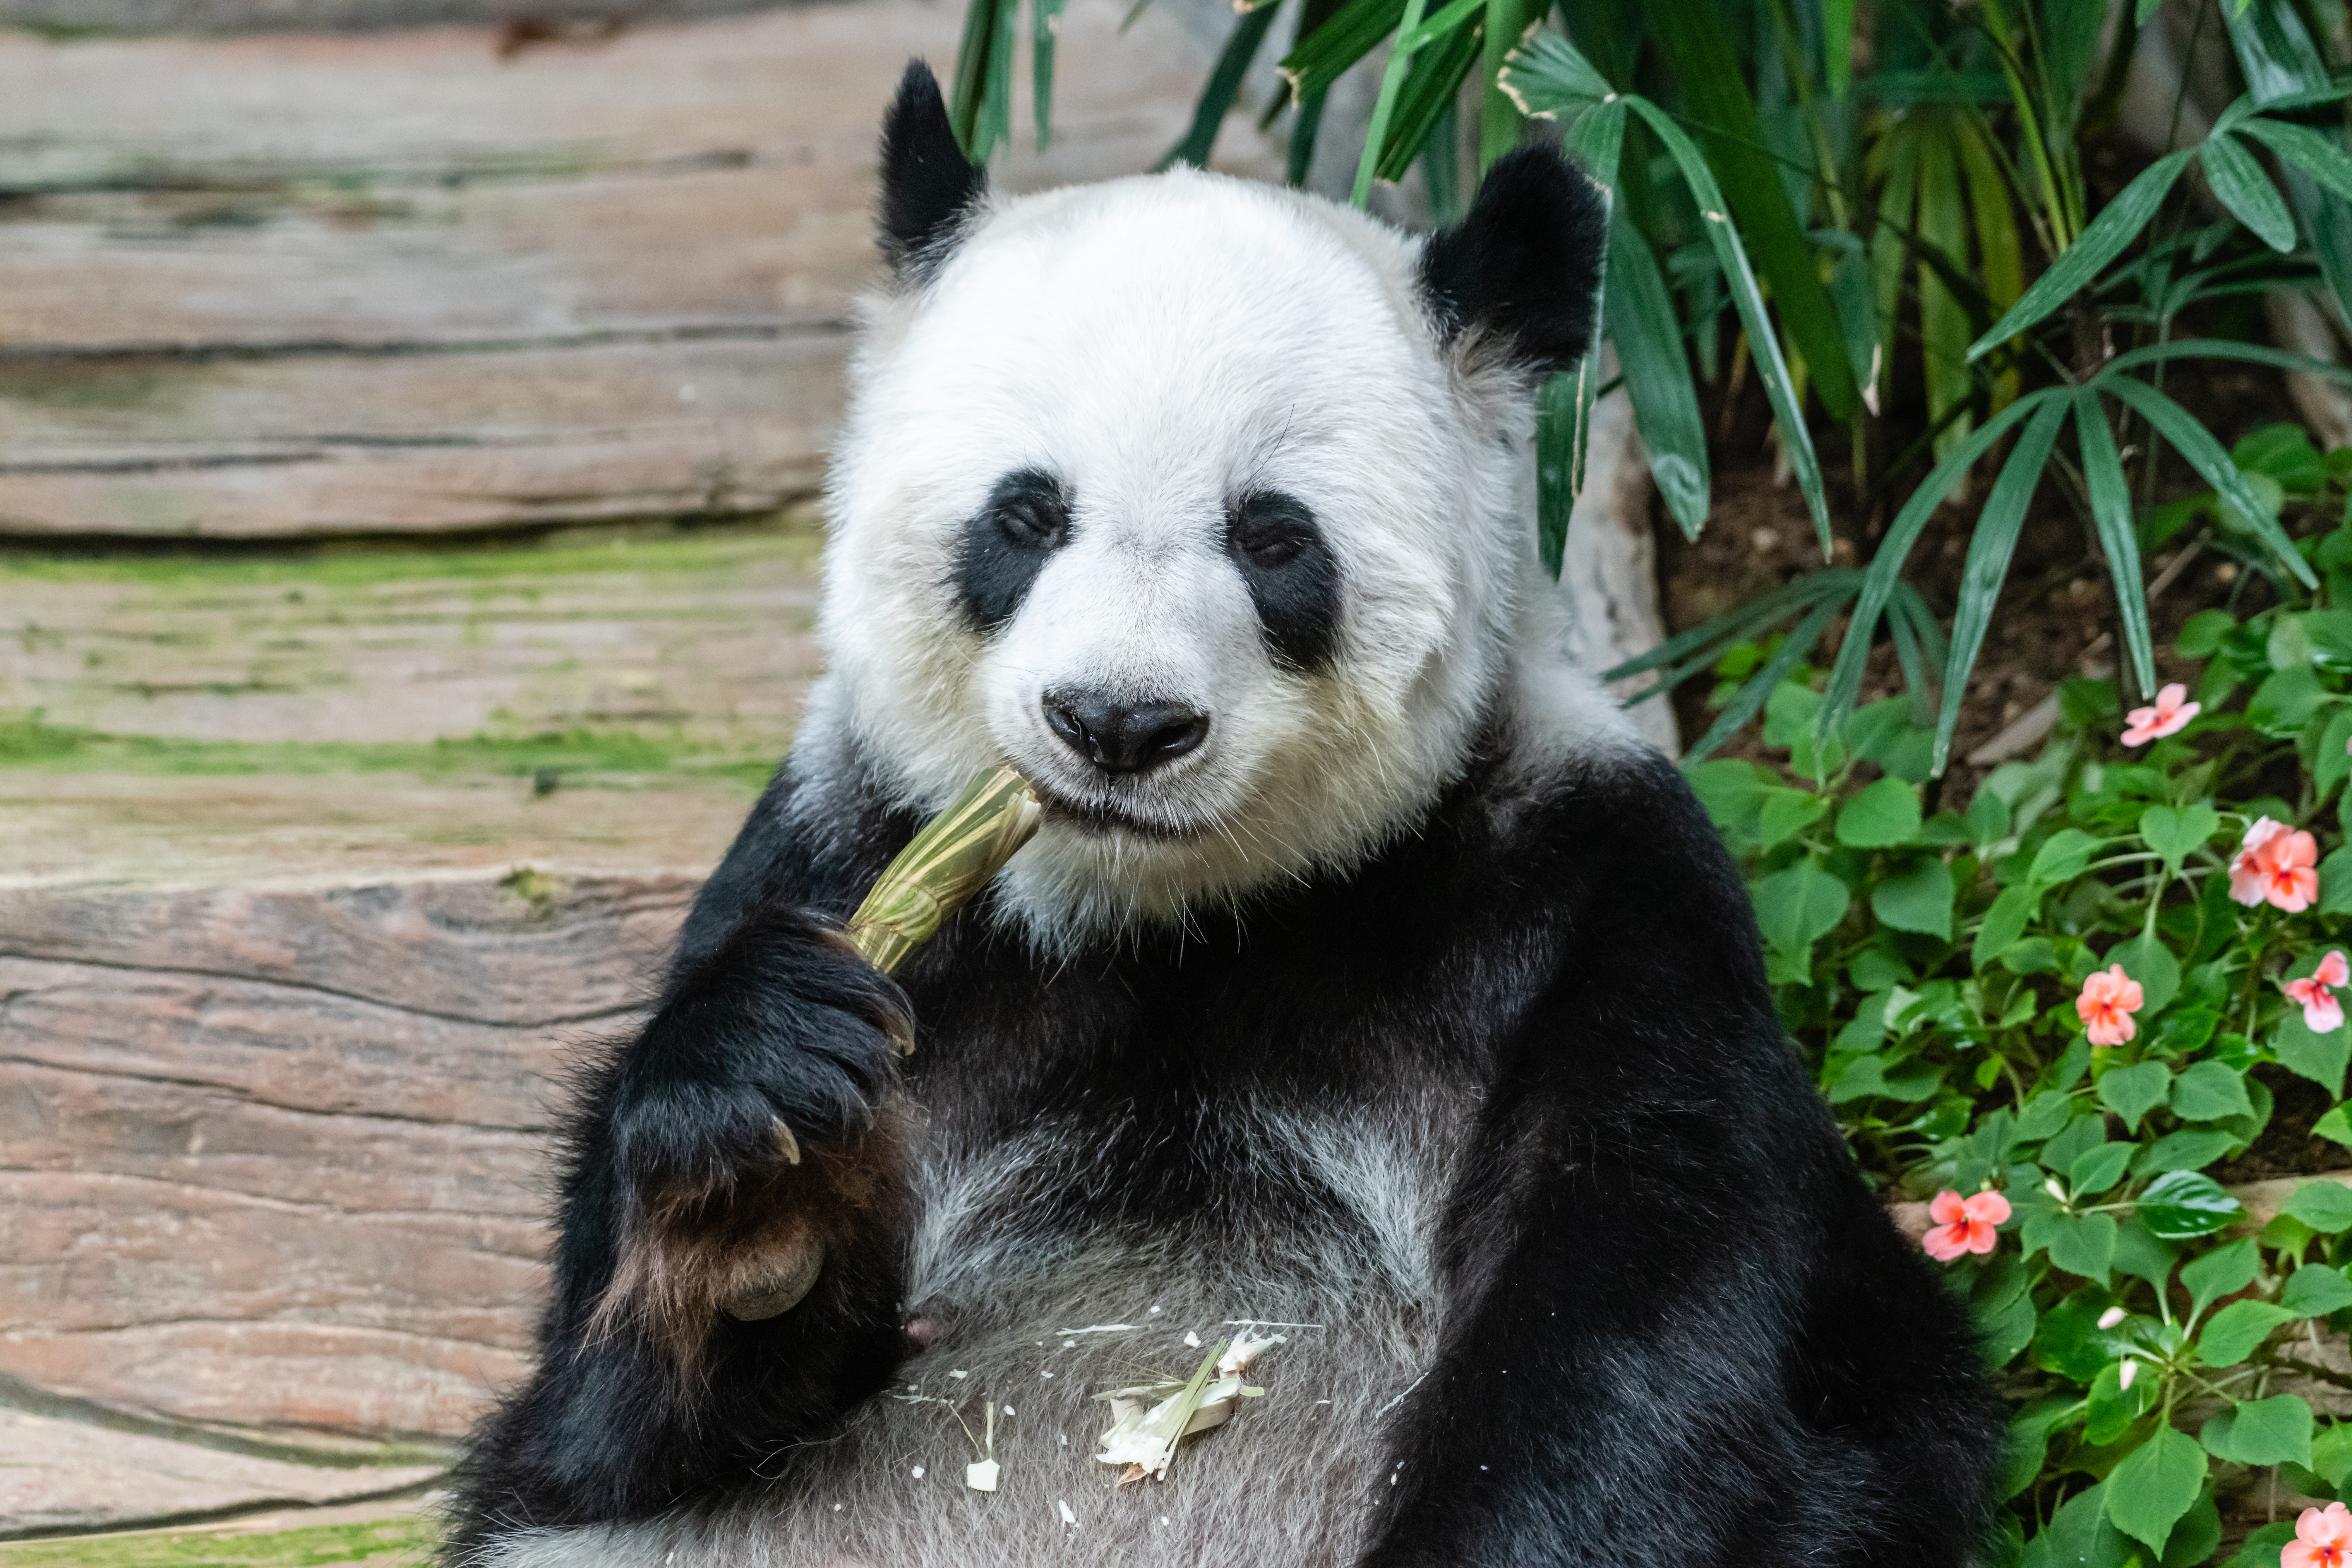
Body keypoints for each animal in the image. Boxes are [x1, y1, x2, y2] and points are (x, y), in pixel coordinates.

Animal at [448, 60, 2003, 1568]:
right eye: (1026, 515)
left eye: (1271, 538)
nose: (1118, 724)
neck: (1169, 917)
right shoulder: (849, 845)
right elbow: (600, 1419)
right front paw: (758, 1185)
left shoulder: (1592, 886)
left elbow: (1644, 1332)